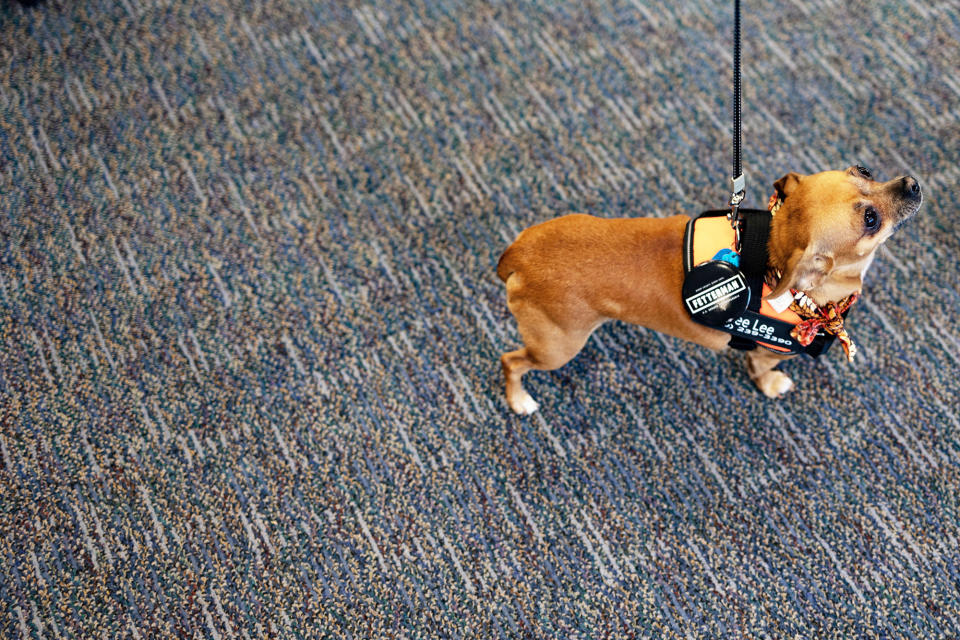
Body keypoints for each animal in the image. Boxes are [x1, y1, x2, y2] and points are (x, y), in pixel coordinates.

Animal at [496, 166, 924, 416]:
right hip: (558, 347)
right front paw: (771, 385)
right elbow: (763, 371)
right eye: (870, 219)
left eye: (865, 170)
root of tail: (518, 253)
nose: (914, 183)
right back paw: (519, 401)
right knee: (511, 362)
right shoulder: (766, 353)